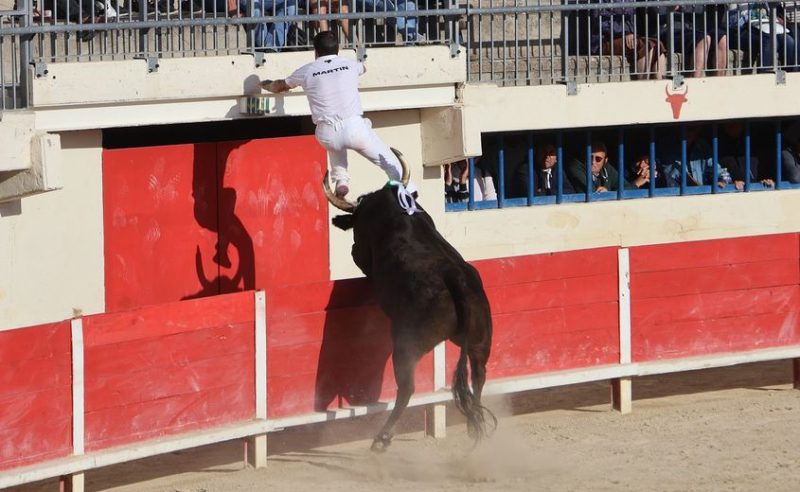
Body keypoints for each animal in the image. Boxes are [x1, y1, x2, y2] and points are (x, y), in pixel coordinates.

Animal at [322, 148, 496, 452]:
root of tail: (455, 277)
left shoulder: (361, 248)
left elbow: (357, 255)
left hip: (406, 344)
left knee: (407, 388)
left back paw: (381, 438)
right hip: (480, 340)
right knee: (479, 376)